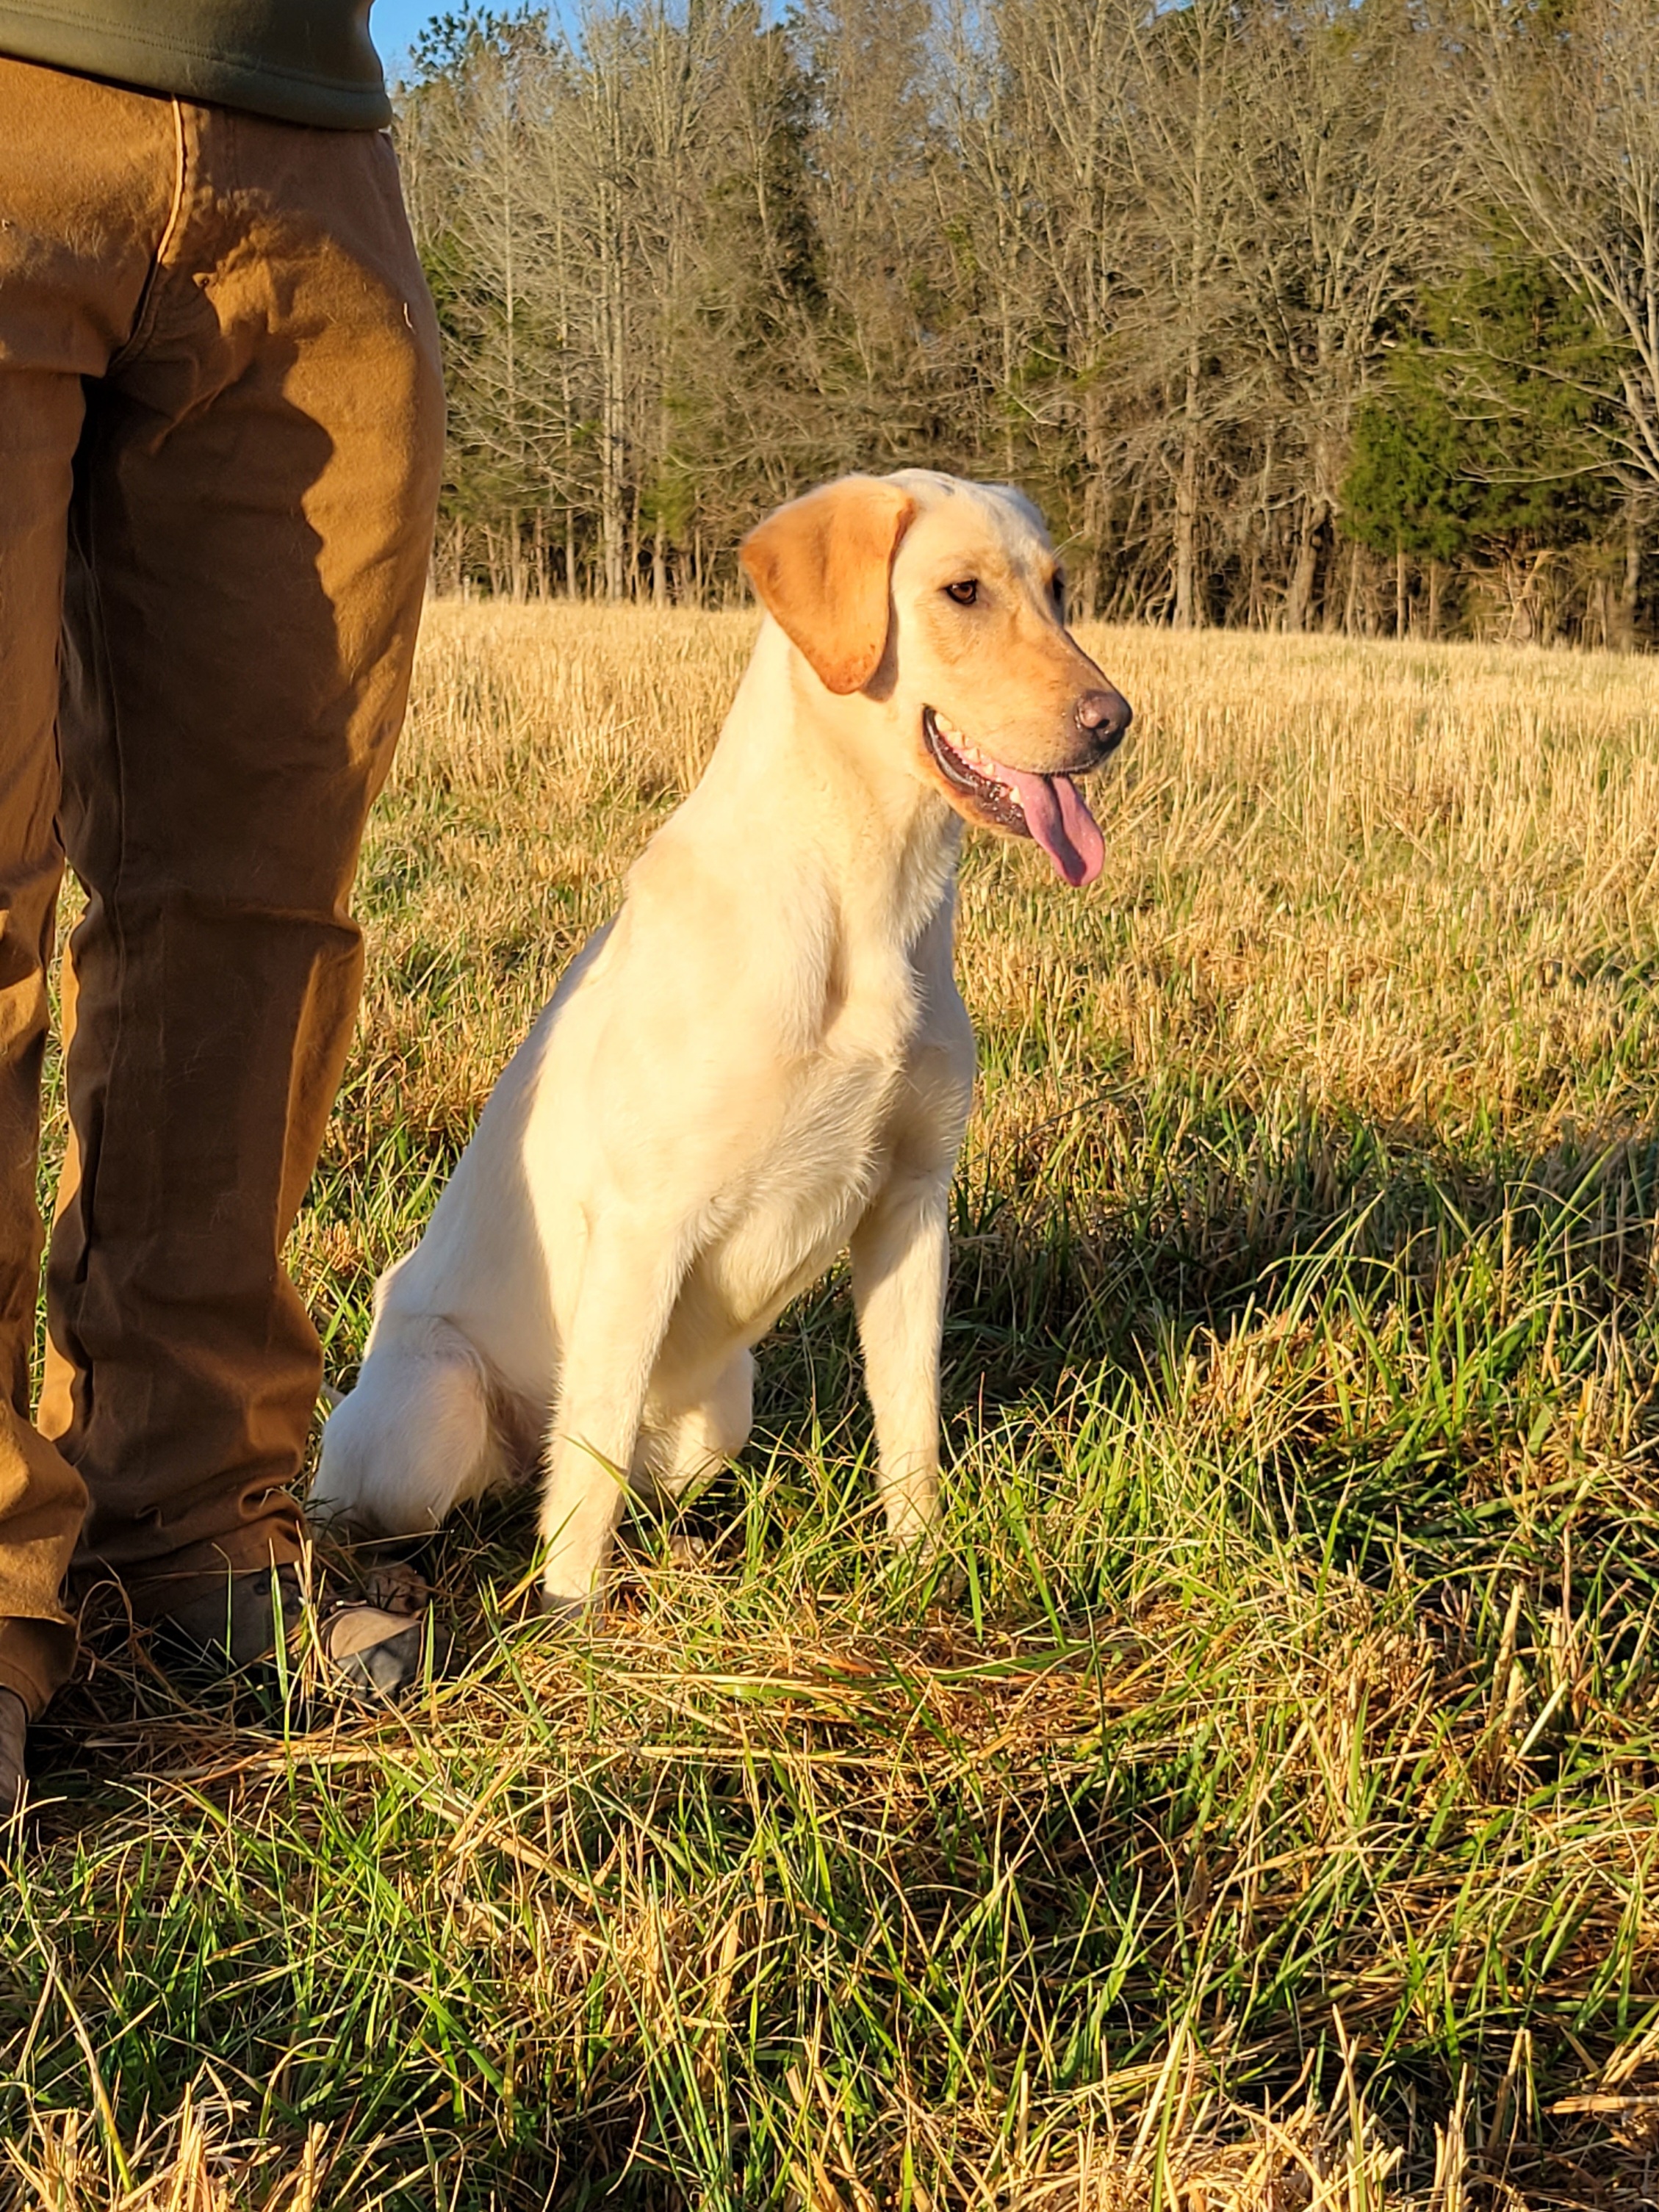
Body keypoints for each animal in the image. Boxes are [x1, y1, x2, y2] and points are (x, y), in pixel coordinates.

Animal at [307, 471, 1141, 1610]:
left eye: (1057, 590)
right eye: (962, 591)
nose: (1114, 721)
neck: (865, 899)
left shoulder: (911, 1205)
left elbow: (910, 1420)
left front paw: (920, 1565)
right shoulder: (643, 1225)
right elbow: (591, 1461)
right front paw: (569, 1622)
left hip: (719, 1413)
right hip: (424, 1423)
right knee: (463, 1489)